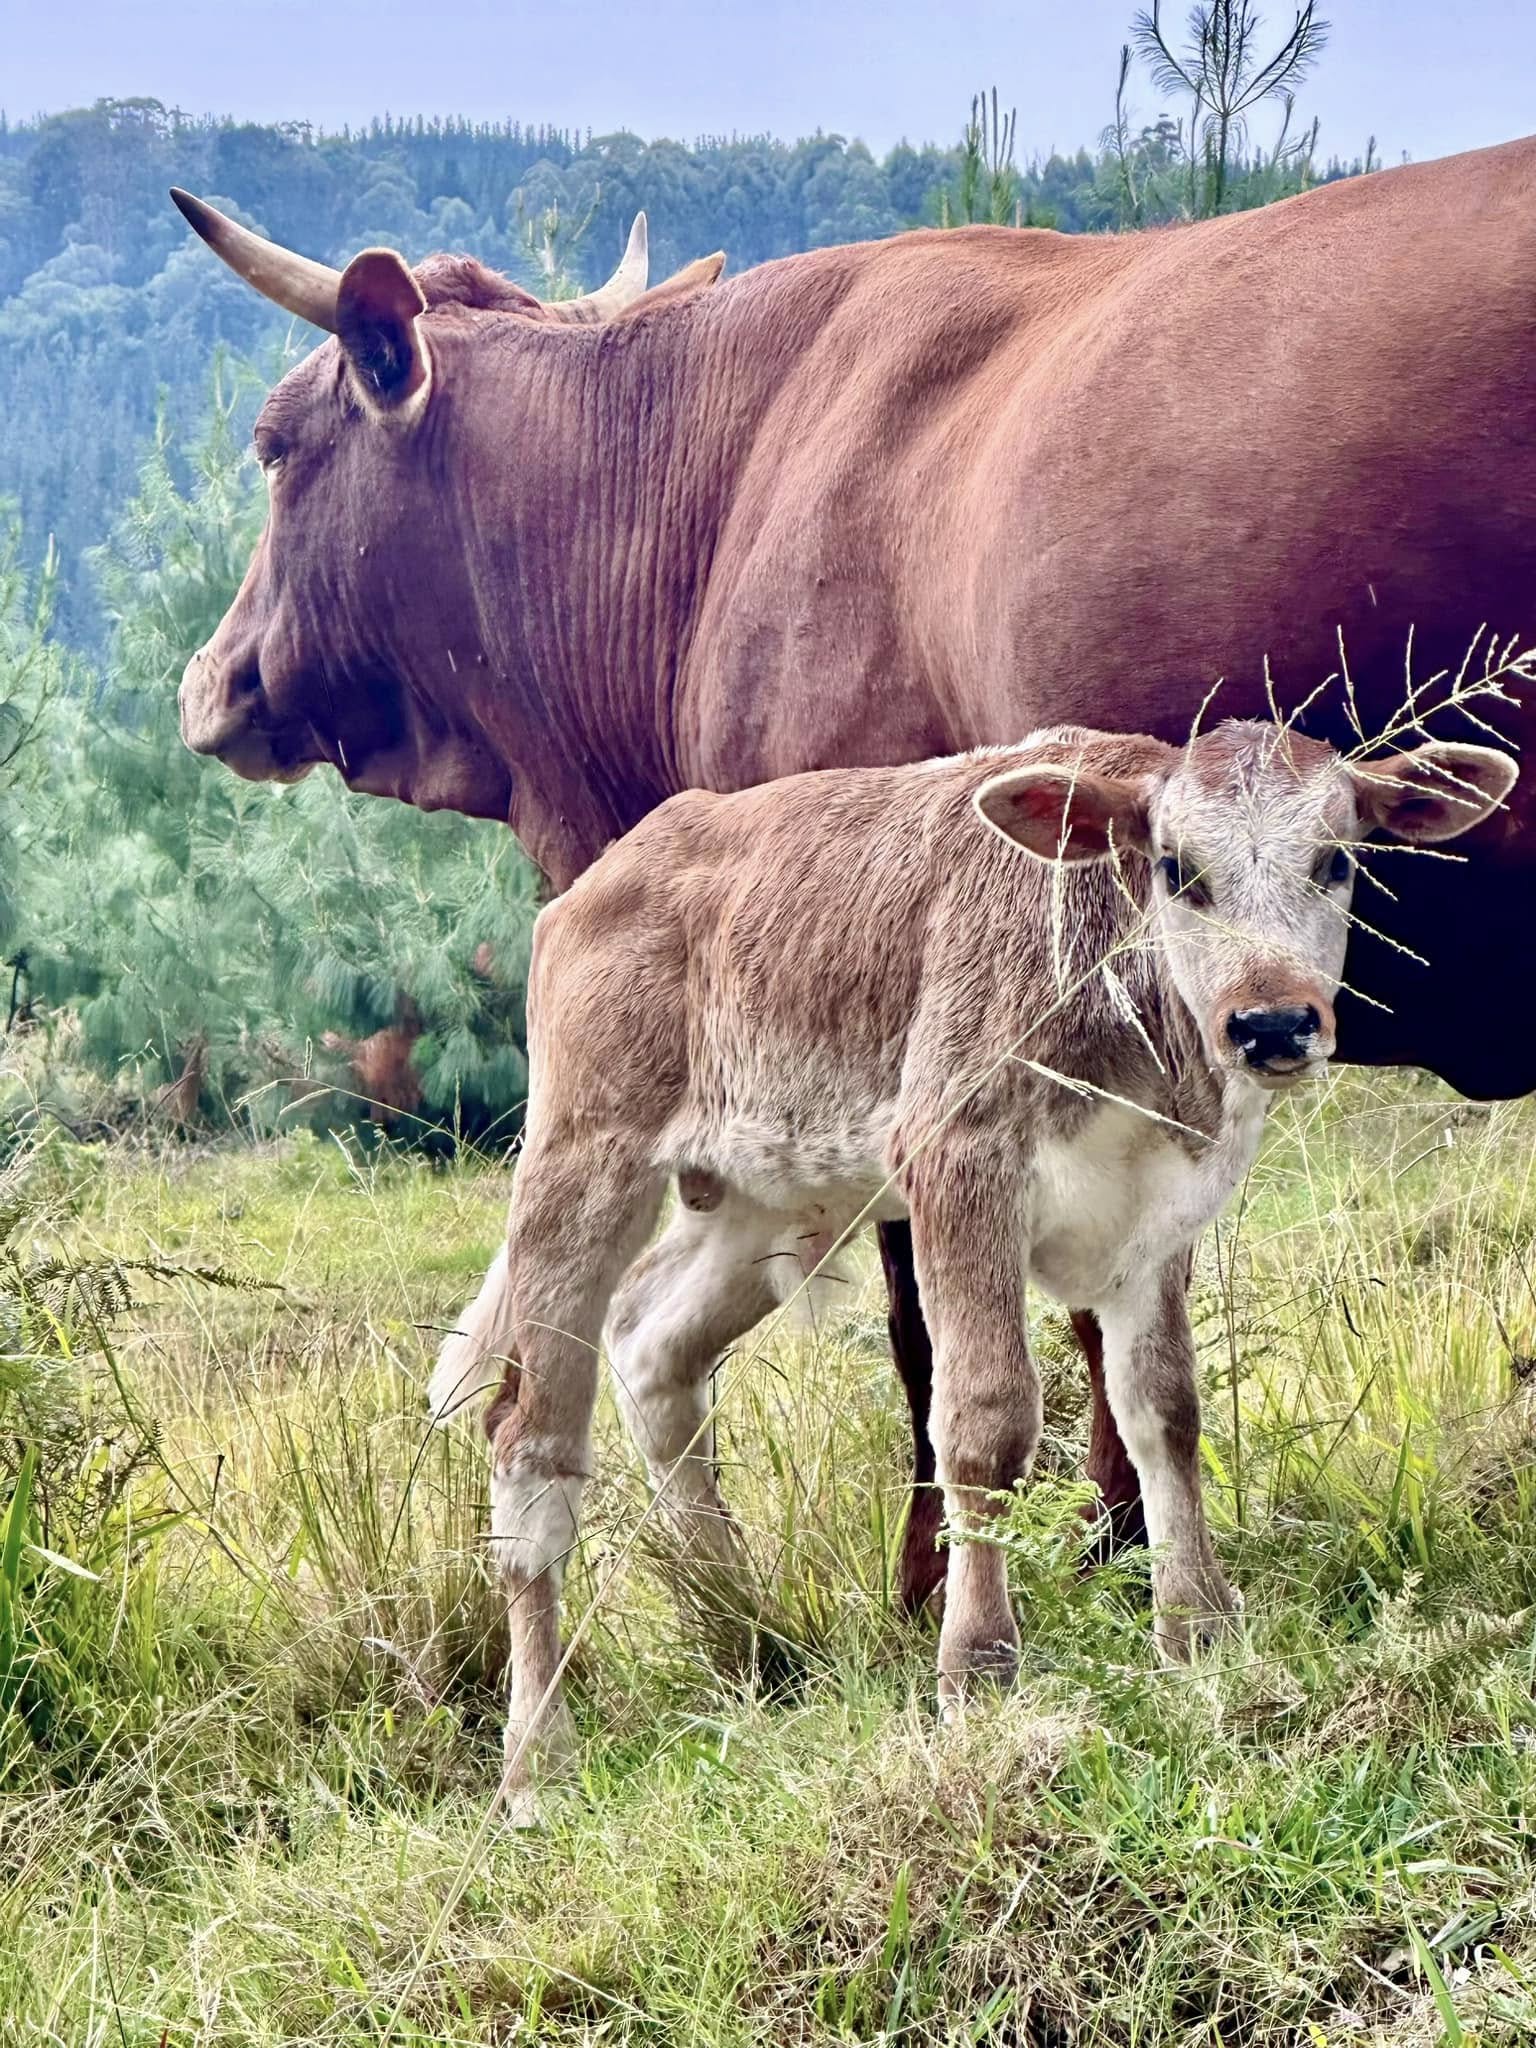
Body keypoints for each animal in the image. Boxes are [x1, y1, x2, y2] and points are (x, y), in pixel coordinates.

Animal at [424, 720, 1515, 1810]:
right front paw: (978, 1668)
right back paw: (538, 1753)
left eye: (1336, 861)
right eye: (1176, 870)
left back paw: (749, 1640)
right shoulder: (958, 1158)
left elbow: (1164, 1407)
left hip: (771, 1192)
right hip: (581, 1157)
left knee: (654, 1343)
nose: (1274, 1023)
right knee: (529, 1442)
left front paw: (1198, 1627)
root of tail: (608, 871)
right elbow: (984, 1420)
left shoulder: (1163, 1205)